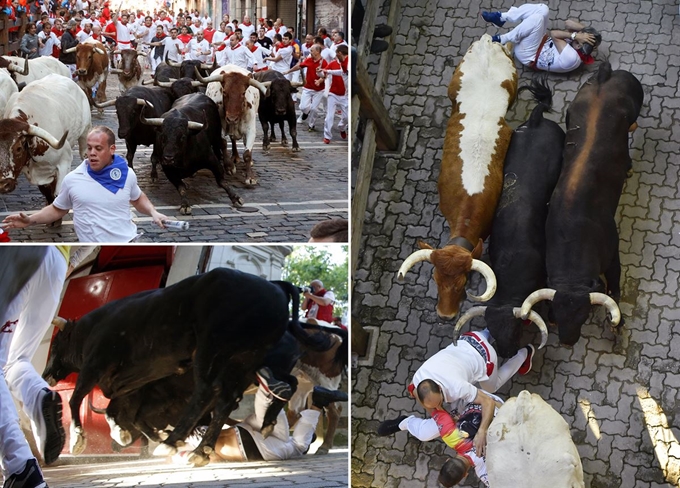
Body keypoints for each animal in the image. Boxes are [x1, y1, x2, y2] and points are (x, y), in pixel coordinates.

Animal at [42, 268, 330, 468]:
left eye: (55, 345)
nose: (46, 375)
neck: (90, 328)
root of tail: (274, 287)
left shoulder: (95, 367)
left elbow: (77, 398)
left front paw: (78, 439)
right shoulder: (128, 386)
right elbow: (118, 413)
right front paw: (123, 433)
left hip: (210, 349)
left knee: (207, 392)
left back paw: (172, 443)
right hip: (243, 360)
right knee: (230, 400)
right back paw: (203, 449)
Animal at [520, 63, 644, 346]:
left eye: (583, 315)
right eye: (558, 314)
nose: (567, 340)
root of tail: (604, 75)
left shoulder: (613, 257)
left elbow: (615, 289)